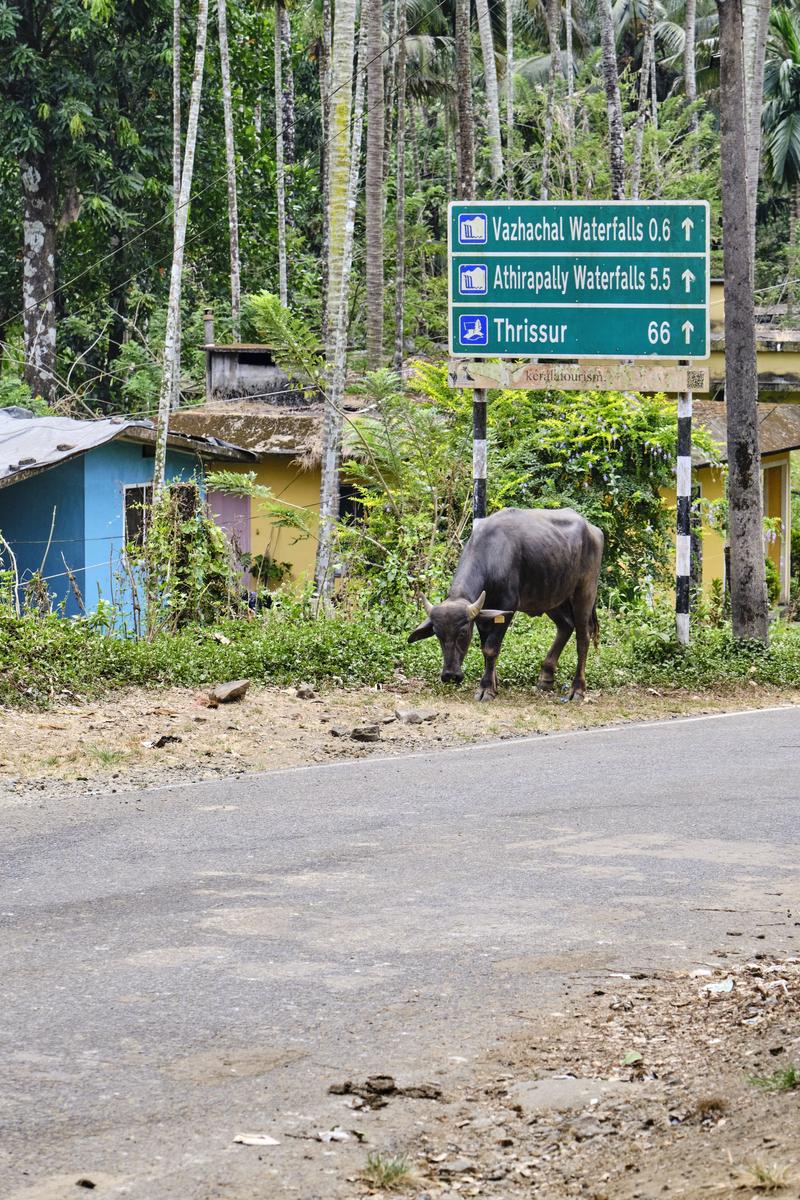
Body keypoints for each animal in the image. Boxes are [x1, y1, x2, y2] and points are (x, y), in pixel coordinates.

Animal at [410, 508, 604, 700]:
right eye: (437, 633)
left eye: (463, 632)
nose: (450, 675)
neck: (491, 554)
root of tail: (594, 530)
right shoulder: (484, 613)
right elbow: (484, 647)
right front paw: (493, 683)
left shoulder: (507, 606)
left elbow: (490, 648)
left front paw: (486, 688)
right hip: (553, 596)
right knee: (565, 626)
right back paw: (546, 678)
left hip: (585, 592)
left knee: (583, 637)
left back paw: (577, 690)